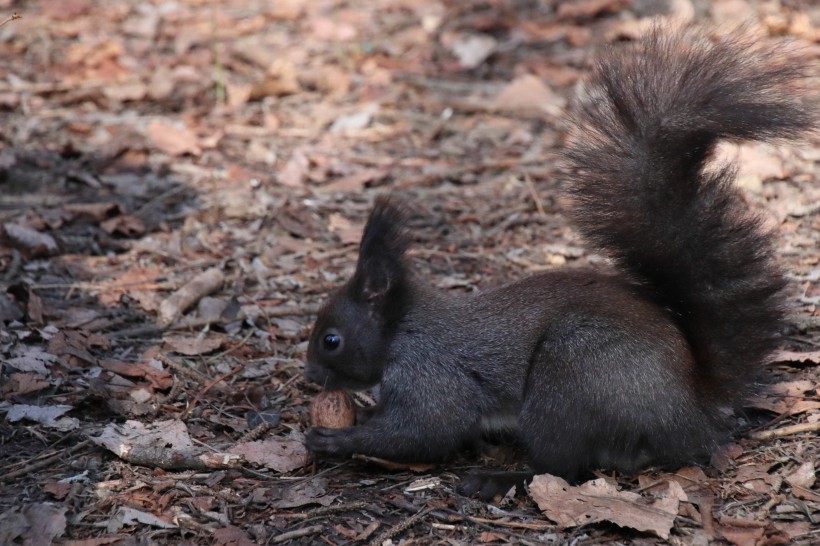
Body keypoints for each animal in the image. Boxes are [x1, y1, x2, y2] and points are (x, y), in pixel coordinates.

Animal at [304, 28, 816, 498]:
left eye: (331, 340)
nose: (309, 376)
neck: (402, 329)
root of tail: (690, 413)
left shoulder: (431, 377)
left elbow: (423, 432)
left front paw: (335, 438)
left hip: (570, 377)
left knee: (561, 467)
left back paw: (495, 478)